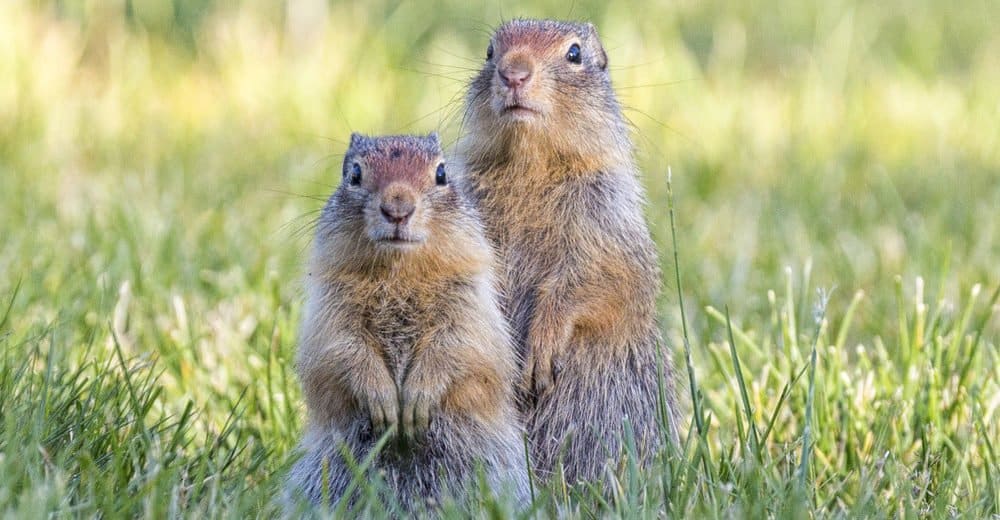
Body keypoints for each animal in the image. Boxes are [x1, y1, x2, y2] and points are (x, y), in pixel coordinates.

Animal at [288, 132, 532, 510]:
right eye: (354, 173)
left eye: (442, 173)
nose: (398, 209)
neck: (399, 272)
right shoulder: (331, 306)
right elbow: (343, 348)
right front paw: (384, 403)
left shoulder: (468, 302)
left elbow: (457, 346)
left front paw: (417, 400)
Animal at [458, 19, 680, 484]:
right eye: (489, 51)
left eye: (575, 54)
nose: (514, 73)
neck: (531, 166)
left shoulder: (606, 217)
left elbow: (598, 280)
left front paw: (541, 350)